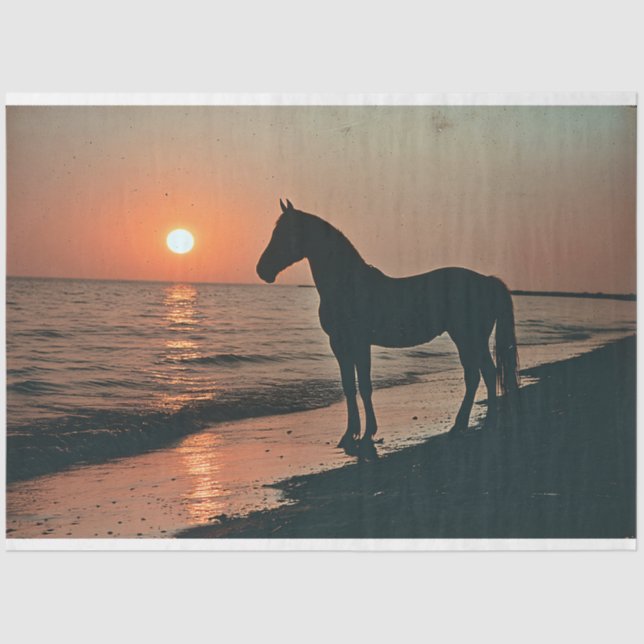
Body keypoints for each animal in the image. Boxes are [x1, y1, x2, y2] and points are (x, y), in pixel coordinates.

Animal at [256, 199, 520, 453]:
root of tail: (487, 281)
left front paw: (367, 435)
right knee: (477, 375)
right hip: (467, 339)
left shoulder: (360, 343)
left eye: (285, 233)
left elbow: (364, 386)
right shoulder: (339, 345)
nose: (262, 270)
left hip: (469, 338)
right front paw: (349, 435)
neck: (348, 285)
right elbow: (349, 387)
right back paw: (463, 425)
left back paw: (482, 424)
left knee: (484, 374)